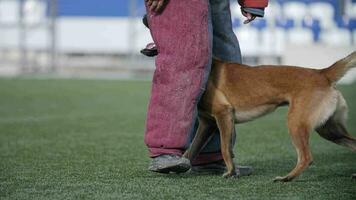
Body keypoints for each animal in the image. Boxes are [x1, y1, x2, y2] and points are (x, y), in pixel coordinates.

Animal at [184, 51, 356, 181]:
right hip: (330, 130)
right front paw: (182, 165)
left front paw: (231, 172)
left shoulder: (223, 114)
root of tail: (322, 73)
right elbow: (191, 150)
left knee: (306, 157)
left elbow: (225, 149)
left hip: (296, 123)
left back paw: (286, 178)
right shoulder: (208, 124)